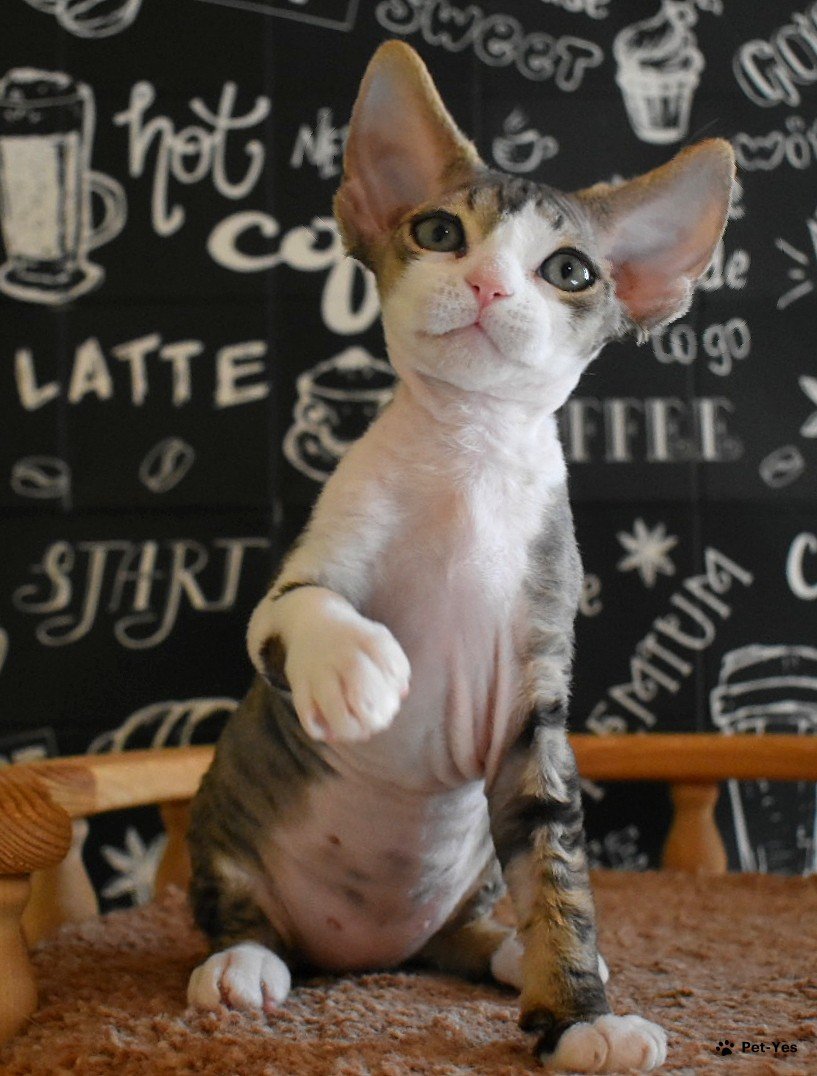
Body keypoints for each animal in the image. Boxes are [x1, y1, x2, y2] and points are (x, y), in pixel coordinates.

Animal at [186, 40, 734, 1072]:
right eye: (439, 231)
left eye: (569, 269)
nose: (488, 286)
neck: (469, 456)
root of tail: (366, 952)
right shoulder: (299, 582)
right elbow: (300, 608)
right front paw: (355, 667)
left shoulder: (533, 699)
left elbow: (558, 870)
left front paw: (582, 1016)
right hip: (224, 816)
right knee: (233, 908)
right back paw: (241, 965)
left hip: (465, 876)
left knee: (472, 935)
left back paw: (511, 953)